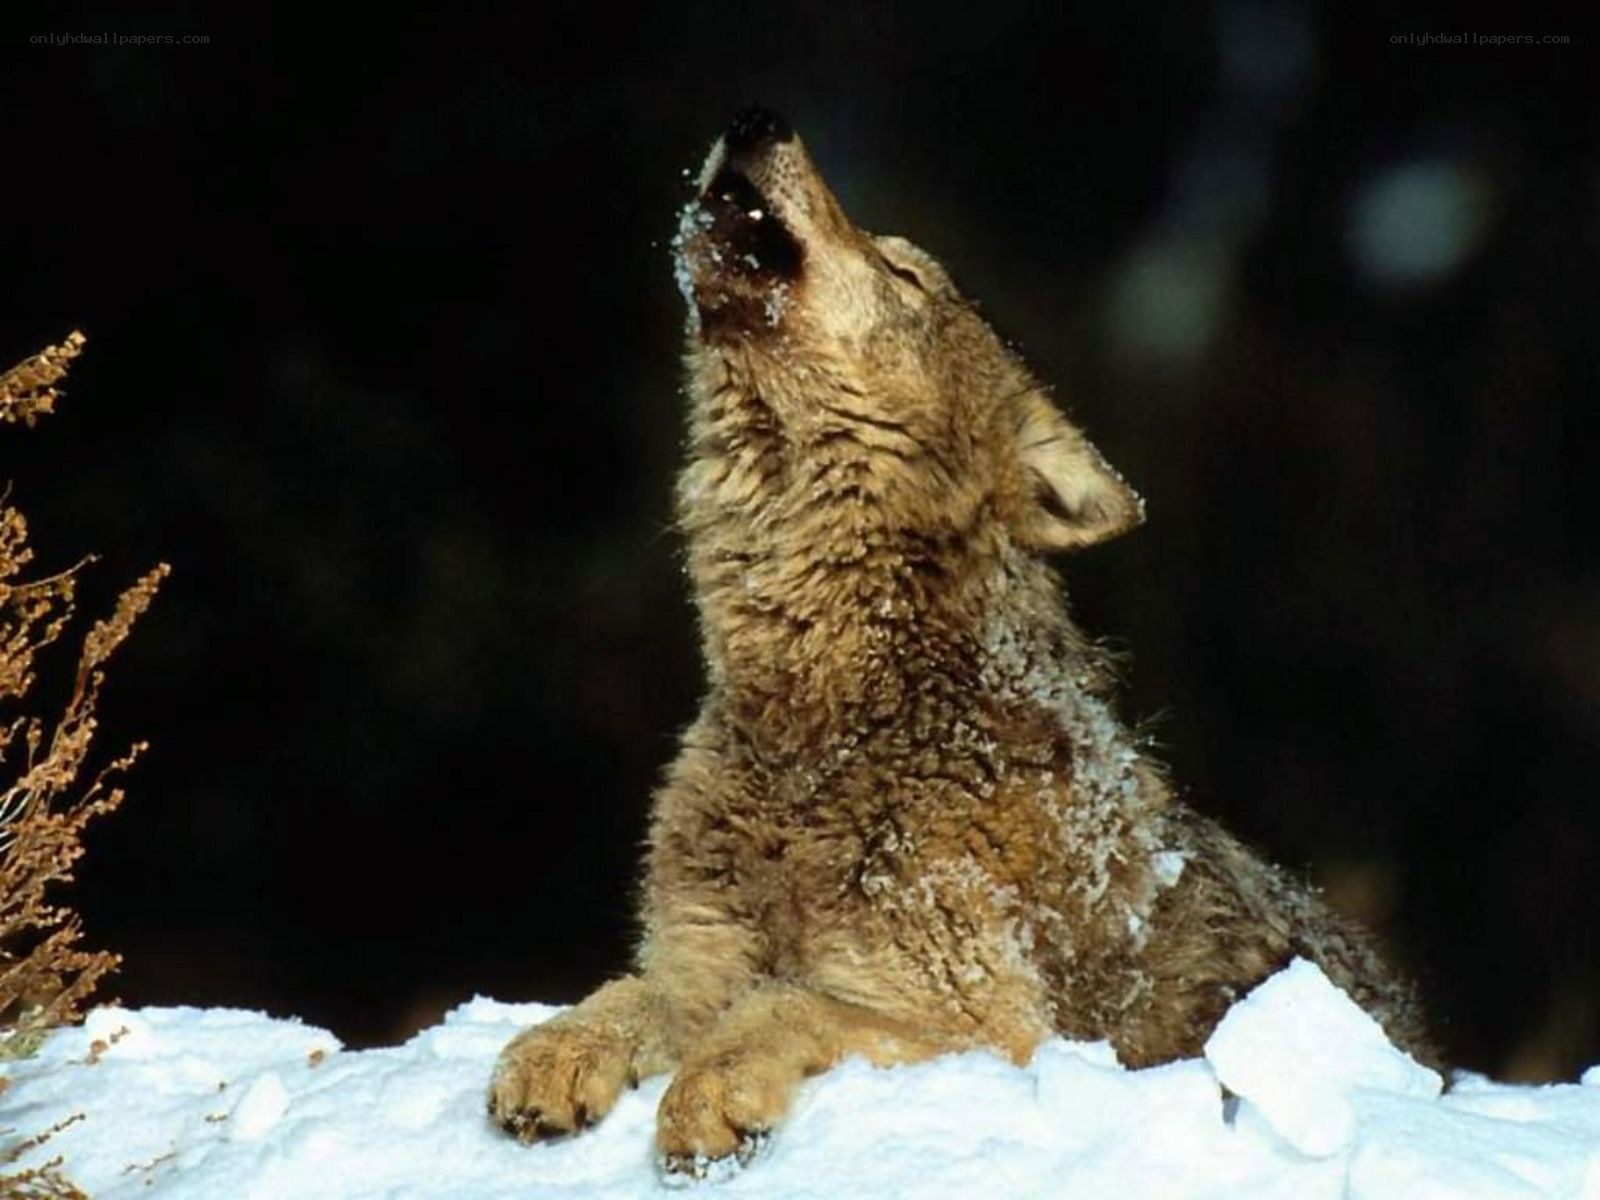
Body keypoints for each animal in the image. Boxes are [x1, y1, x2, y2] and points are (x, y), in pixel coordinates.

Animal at [489, 107, 1434, 1176]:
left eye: (904, 274)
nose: (757, 120)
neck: (825, 724)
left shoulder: (985, 1023)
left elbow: (783, 1004)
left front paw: (707, 1100)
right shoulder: (699, 958)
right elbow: (628, 992)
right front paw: (555, 1053)